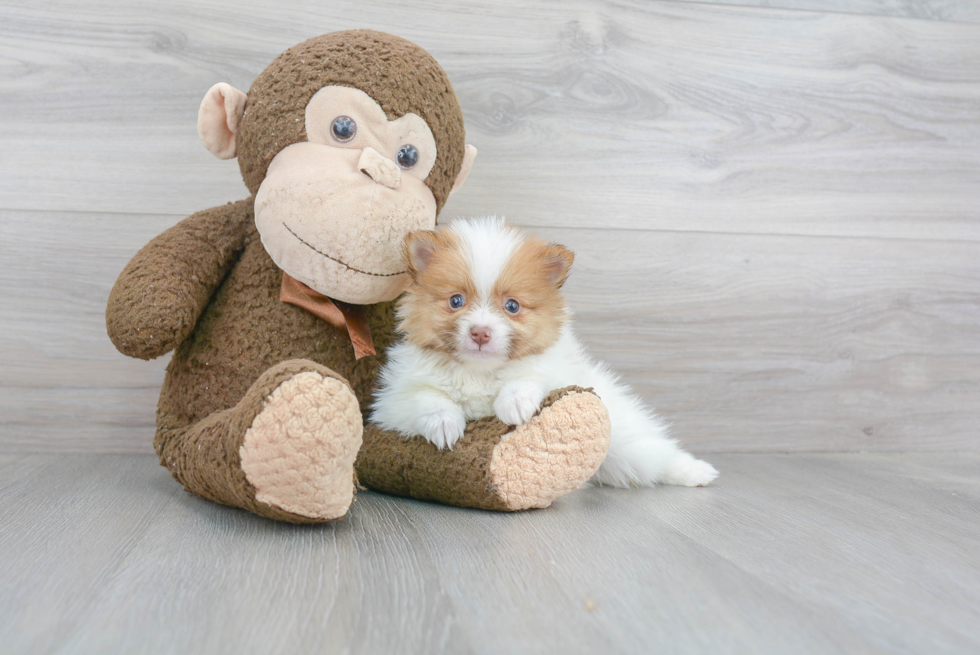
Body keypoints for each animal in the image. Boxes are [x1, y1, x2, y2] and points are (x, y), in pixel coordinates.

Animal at [372, 218, 716, 490]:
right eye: (456, 301)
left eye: (512, 306)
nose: (480, 332)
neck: (479, 371)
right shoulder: (393, 402)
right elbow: (427, 398)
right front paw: (444, 424)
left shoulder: (559, 370)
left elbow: (529, 376)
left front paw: (514, 403)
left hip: (626, 441)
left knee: (657, 455)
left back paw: (697, 472)